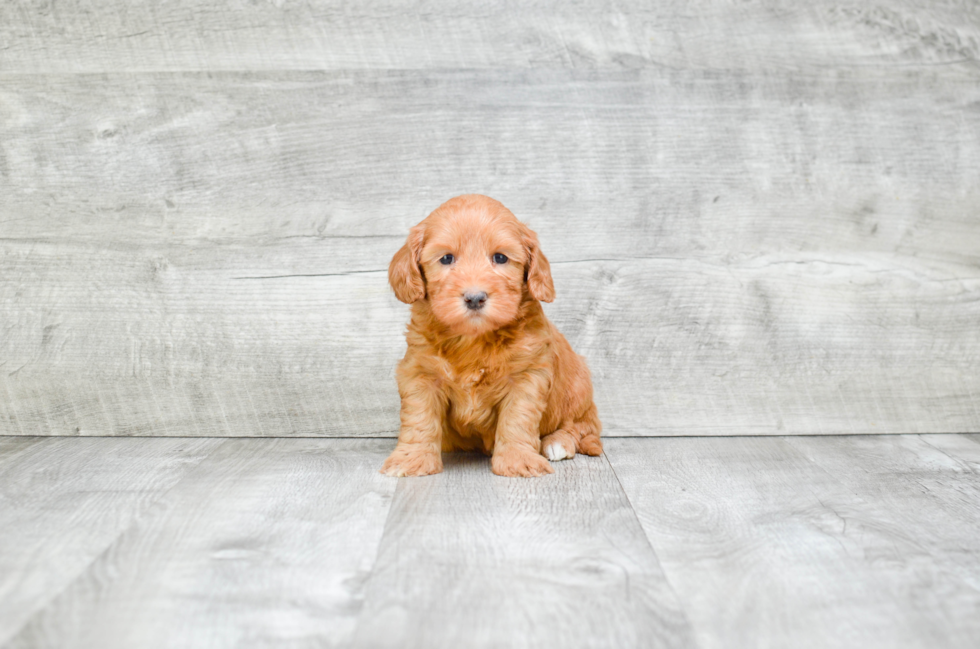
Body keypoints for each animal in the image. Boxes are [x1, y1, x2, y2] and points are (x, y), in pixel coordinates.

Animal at [380, 194, 596, 476]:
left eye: (500, 258)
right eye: (447, 259)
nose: (475, 297)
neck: (473, 339)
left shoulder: (527, 377)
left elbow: (517, 419)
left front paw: (518, 460)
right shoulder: (421, 374)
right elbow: (419, 419)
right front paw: (411, 459)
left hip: (577, 389)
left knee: (583, 426)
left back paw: (557, 443)